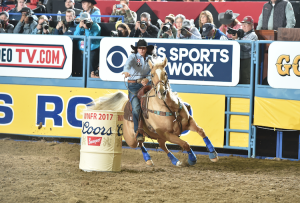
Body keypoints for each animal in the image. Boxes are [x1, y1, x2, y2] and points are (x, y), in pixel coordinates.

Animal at [87, 57, 218, 167]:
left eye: (165, 73)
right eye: (152, 74)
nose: (162, 92)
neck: (167, 107)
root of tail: (125, 104)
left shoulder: (188, 122)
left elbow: (201, 131)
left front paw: (213, 154)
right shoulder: (166, 133)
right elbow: (185, 143)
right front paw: (192, 159)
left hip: (158, 135)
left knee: (162, 145)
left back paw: (175, 161)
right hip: (132, 138)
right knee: (140, 143)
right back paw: (148, 159)